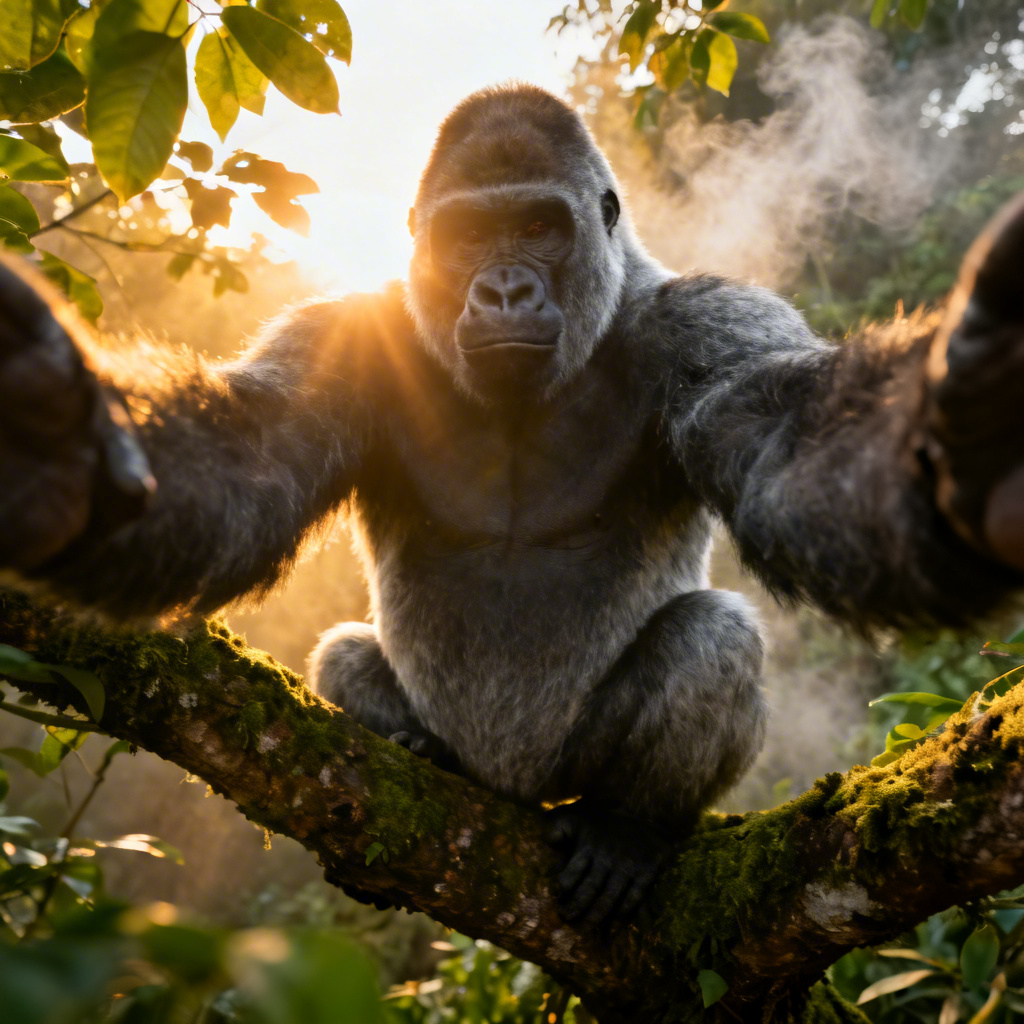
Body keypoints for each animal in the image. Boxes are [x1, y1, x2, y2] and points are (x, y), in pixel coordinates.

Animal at [1, 84, 1023, 926]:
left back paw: (628, 828)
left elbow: (789, 440)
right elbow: (248, 457)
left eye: (537, 226)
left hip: (567, 774)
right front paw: (55, 447)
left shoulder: (712, 321)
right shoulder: (343, 333)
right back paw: (418, 746)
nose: (502, 287)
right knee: (344, 653)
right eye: (465, 238)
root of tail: (513, 793)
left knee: (714, 637)